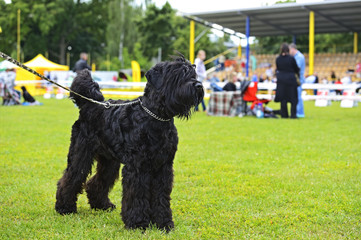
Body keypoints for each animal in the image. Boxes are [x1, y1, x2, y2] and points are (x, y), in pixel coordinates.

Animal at [55, 55, 204, 232]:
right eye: (178, 74)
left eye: (193, 74)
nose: (199, 85)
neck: (156, 117)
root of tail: (89, 105)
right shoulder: (138, 167)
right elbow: (137, 194)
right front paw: (138, 223)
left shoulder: (163, 167)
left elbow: (161, 196)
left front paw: (164, 223)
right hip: (81, 154)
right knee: (71, 177)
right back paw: (64, 207)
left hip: (109, 161)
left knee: (97, 181)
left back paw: (102, 205)